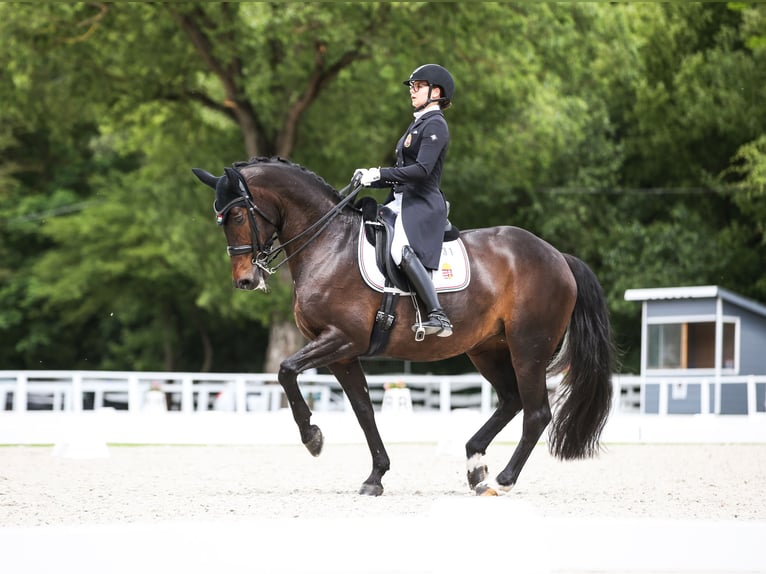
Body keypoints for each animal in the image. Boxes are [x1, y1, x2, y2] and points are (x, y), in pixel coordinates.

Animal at [194, 158, 616, 500]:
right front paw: (375, 476)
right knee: (511, 400)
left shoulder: (341, 339)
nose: (245, 280)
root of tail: (557, 256)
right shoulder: (342, 353)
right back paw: (476, 467)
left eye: (236, 216)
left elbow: (286, 371)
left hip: (528, 346)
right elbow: (364, 409)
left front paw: (312, 439)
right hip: (487, 348)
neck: (328, 244)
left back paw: (502, 479)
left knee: (537, 412)